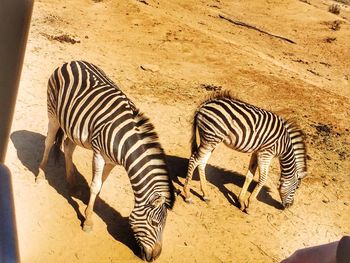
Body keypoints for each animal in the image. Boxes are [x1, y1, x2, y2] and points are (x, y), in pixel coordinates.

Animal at [36, 61, 175, 262]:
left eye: (164, 224)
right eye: (155, 223)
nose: (155, 257)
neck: (125, 142)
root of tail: (71, 61)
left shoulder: (112, 162)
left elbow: (101, 184)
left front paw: (93, 206)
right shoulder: (99, 155)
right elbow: (95, 185)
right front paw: (88, 221)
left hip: (73, 126)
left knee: (68, 147)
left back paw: (72, 184)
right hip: (52, 112)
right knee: (48, 142)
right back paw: (40, 175)